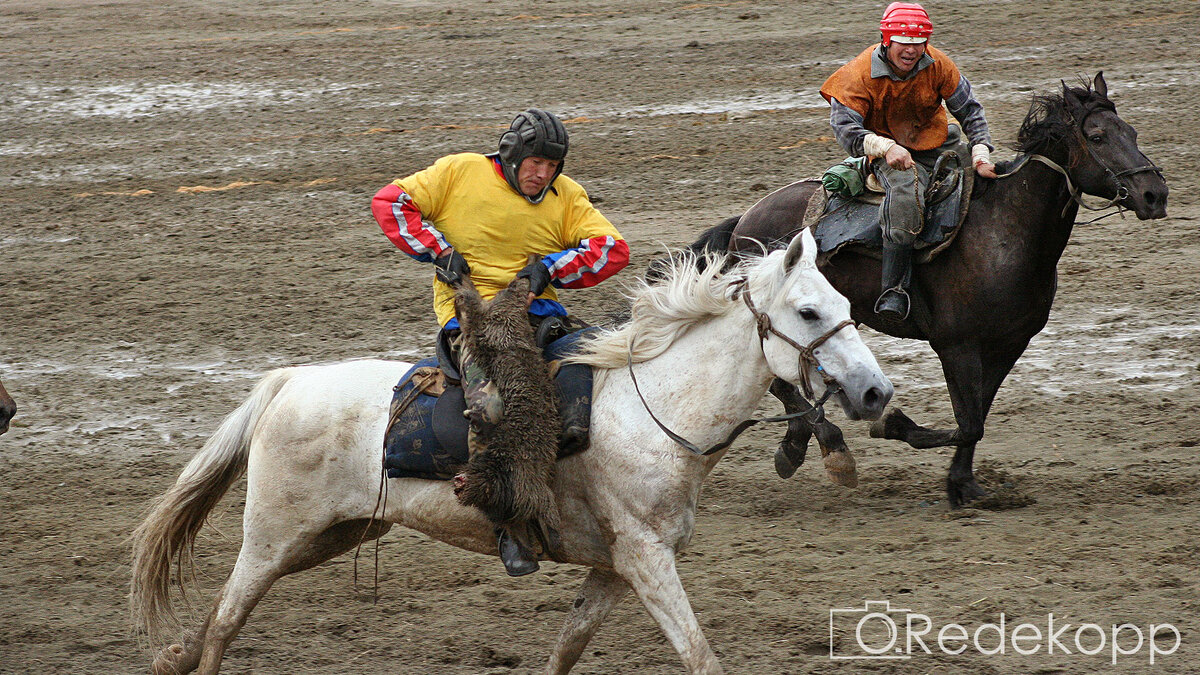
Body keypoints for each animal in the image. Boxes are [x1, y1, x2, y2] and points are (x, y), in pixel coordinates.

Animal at [136, 228, 897, 667]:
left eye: (841, 302)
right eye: (808, 311)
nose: (875, 392)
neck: (655, 411)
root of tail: (289, 381)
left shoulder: (614, 568)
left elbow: (567, 648)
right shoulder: (646, 559)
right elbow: (700, 654)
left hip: (333, 535)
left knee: (220, 616)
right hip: (273, 536)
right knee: (226, 621)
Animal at [686, 73, 1171, 504]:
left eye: (1131, 131)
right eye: (1097, 135)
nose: (1154, 194)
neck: (1004, 232)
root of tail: (747, 217)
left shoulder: (1008, 345)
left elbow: (978, 417)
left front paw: (964, 485)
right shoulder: (956, 346)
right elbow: (968, 421)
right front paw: (895, 427)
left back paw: (804, 444)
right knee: (781, 384)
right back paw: (826, 447)